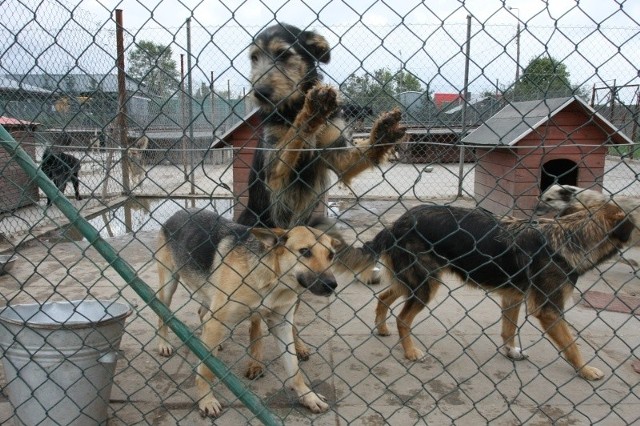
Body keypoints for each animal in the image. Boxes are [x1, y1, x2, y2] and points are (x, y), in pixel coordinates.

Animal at [155, 209, 340, 416]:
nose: (331, 285)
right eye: (305, 252)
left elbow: (294, 370)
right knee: (162, 314)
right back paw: (164, 344)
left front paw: (308, 396)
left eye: (331, 255)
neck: (273, 279)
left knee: (202, 312)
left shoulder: (281, 324)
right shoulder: (217, 319)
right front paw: (207, 400)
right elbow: (206, 371)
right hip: (169, 285)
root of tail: (179, 212)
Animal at [342, 203, 632, 380]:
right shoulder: (549, 310)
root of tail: (397, 223)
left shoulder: (512, 298)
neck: (572, 235)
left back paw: (382, 328)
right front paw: (586, 370)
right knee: (403, 318)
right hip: (426, 285)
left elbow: (508, 330)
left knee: (383, 298)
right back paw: (410, 352)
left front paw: (511, 352)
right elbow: (572, 344)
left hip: (410, 282)